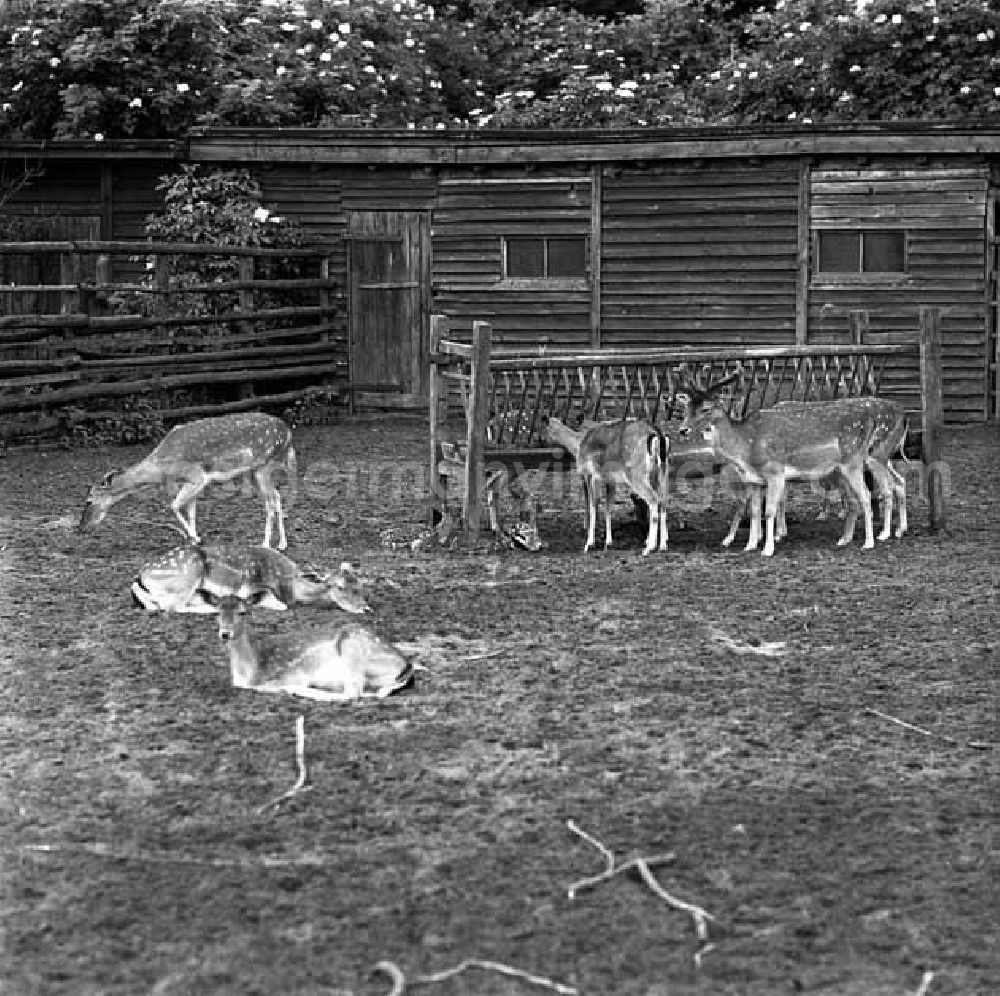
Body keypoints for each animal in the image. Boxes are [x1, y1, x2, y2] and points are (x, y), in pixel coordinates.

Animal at [79, 414, 294, 552]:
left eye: (89, 501)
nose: (81, 528)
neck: (163, 468)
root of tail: (288, 433)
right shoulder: (194, 482)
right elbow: (191, 512)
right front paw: (193, 541)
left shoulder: (197, 477)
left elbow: (173, 505)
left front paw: (195, 538)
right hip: (252, 472)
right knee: (276, 496)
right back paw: (282, 543)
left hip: (264, 466)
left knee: (270, 502)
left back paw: (265, 544)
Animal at [129, 544, 370, 616]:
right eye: (340, 587)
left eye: (359, 584)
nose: (365, 608)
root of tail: (141, 576)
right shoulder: (251, 587)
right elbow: (281, 605)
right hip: (188, 576)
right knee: (171, 607)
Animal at [217, 592, 420, 700]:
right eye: (217, 612)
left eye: (243, 612)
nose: (225, 633)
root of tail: (407, 666)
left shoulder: (294, 673)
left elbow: (263, 686)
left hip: (353, 648)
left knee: (352, 693)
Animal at [544, 412, 668, 552]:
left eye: (546, 428)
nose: (544, 440)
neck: (578, 445)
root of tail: (657, 434)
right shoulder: (610, 480)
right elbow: (608, 507)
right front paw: (608, 542)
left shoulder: (590, 474)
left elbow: (593, 505)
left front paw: (589, 544)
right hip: (661, 472)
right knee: (663, 500)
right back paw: (662, 545)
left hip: (636, 474)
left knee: (653, 499)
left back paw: (649, 548)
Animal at [668, 376, 880, 556]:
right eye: (686, 408)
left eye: (706, 409)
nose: (683, 430)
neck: (745, 450)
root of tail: (872, 420)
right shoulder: (753, 480)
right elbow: (755, 511)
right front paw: (750, 545)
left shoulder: (775, 472)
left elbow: (769, 510)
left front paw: (768, 549)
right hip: (840, 470)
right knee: (854, 499)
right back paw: (844, 540)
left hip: (853, 460)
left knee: (866, 495)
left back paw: (869, 543)